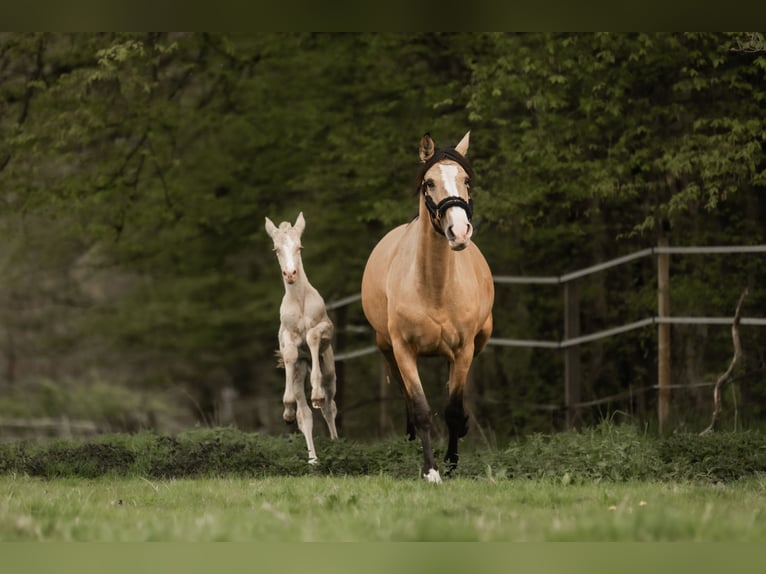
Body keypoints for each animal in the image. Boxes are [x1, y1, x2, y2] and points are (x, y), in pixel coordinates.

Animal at [265, 212, 339, 464]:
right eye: (276, 249)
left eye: (299, 247)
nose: (290, 274)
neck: (300, 301)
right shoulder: (288, 338)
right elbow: (289, 353)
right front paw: (287, 407)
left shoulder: (326, 327)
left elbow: (313, 335)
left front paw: (315, 393)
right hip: (300, 370)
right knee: (305, 414)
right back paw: (313, 460)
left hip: (330, 369)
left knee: (329, 405)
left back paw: (337, 443)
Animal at [361, 131, 494, 483]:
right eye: (429, 183)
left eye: (466, 181)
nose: (458, 231)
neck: (434, 287)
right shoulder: (403, 349)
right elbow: (421, 408)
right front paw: (431, 471)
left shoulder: (463, 349)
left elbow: (453, 409)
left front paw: (451, 463)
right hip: (386, 346)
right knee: (406, 394)